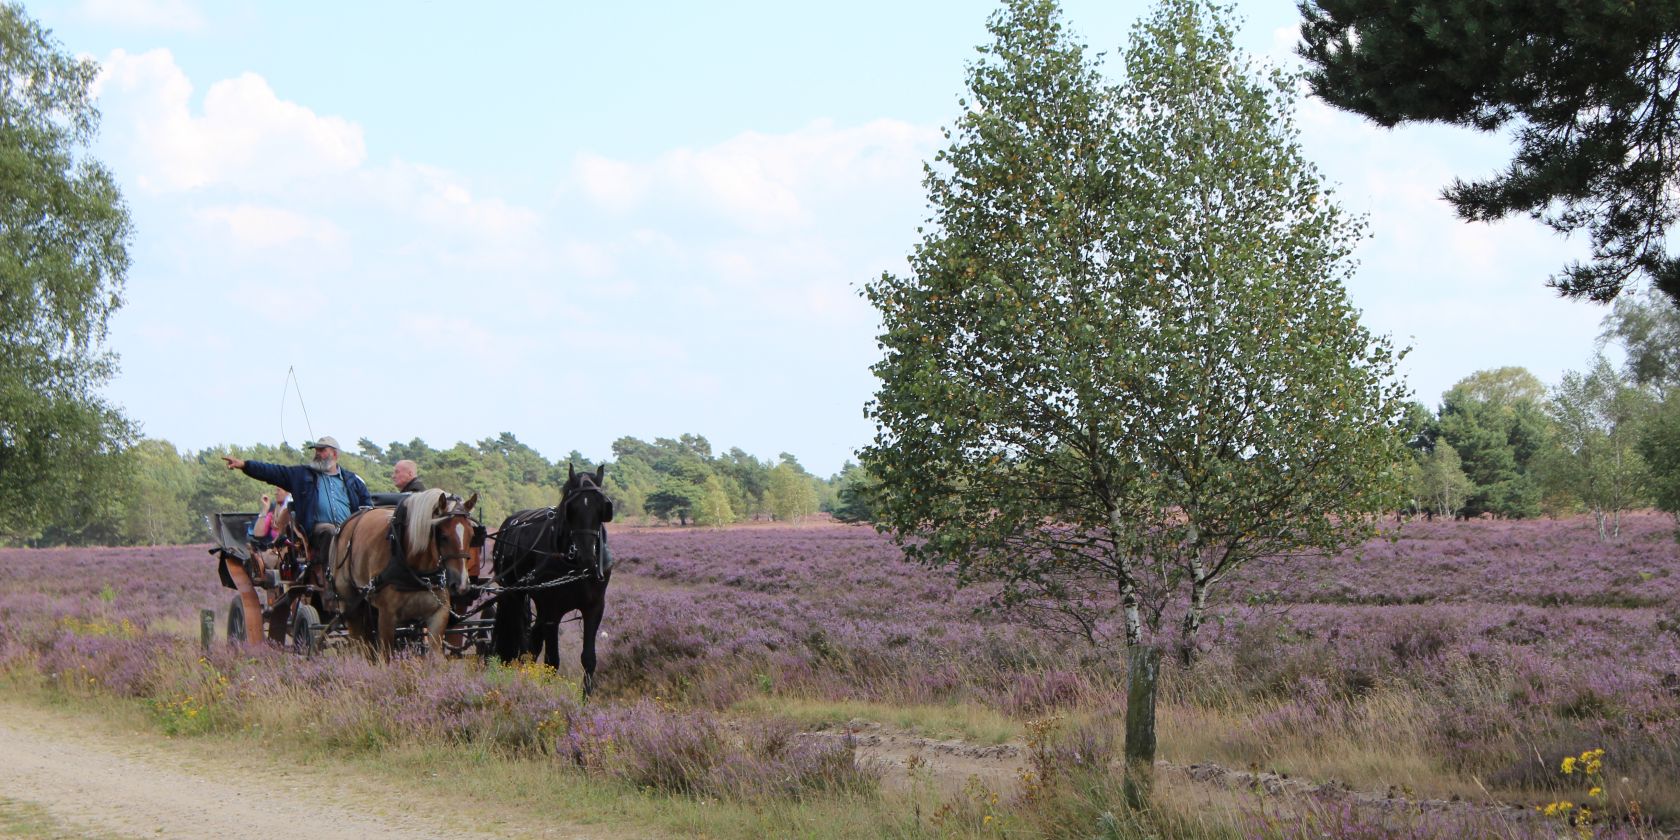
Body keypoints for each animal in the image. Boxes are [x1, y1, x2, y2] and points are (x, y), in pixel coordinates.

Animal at [327, 490, 477, 658]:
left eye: (472, 535)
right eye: (444, 536)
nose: (461, 584)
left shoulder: (439, 614)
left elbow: (436, 656)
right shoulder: (387, 615)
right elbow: (386, 656)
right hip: (350, 603)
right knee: (359, 644)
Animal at [490, 467, 614, 695]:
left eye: (602, 507)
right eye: (571, 508)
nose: (587, 557)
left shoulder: (594, 608)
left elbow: (589, 659)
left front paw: (586, 698)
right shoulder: (551, 611)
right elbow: (552, 661)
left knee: (532, 643)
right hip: (514, 595)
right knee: (521, 642)